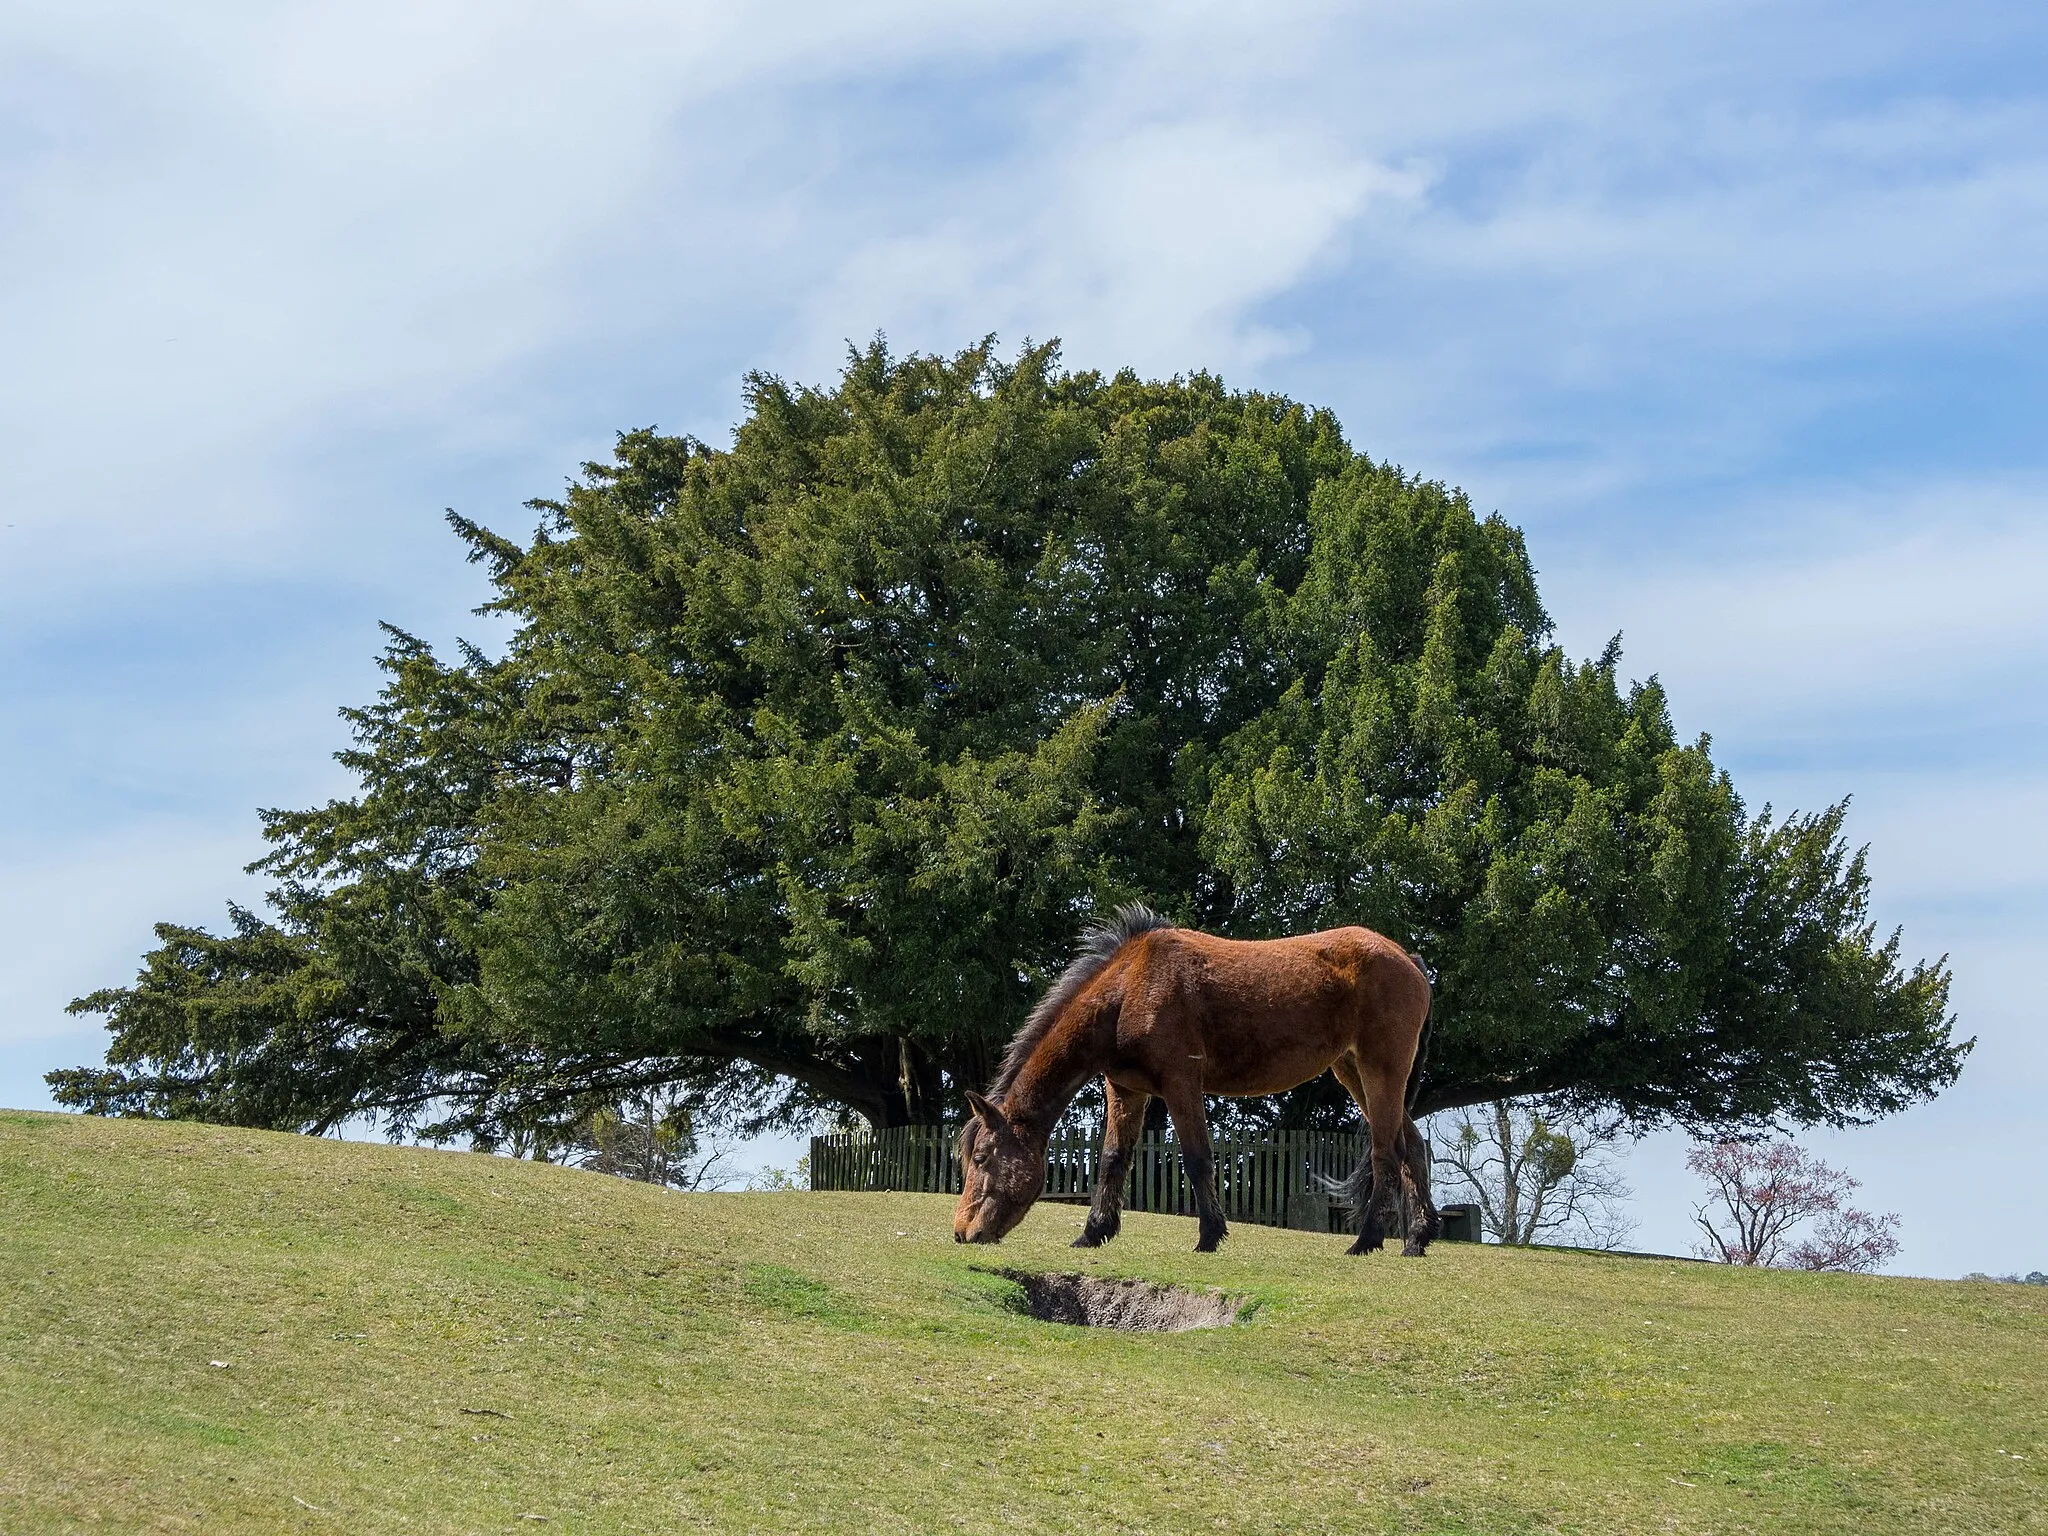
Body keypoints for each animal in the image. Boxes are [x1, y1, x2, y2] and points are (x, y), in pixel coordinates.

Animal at [950, 909, 1433, 1253]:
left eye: (982, 1158)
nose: (961, 1232)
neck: (1130, 988)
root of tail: (1408, 960)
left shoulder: (1181, 1084)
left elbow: (1198, 1158)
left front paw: (1209, 1236)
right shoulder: (1126, 1091)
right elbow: (1112, 1159)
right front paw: (1094, 1233)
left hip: (1379, 1072)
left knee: (1385, 1153)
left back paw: (1367, 1241)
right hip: (1354, 1072)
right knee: (1411, 1146)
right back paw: (1415, 1239)